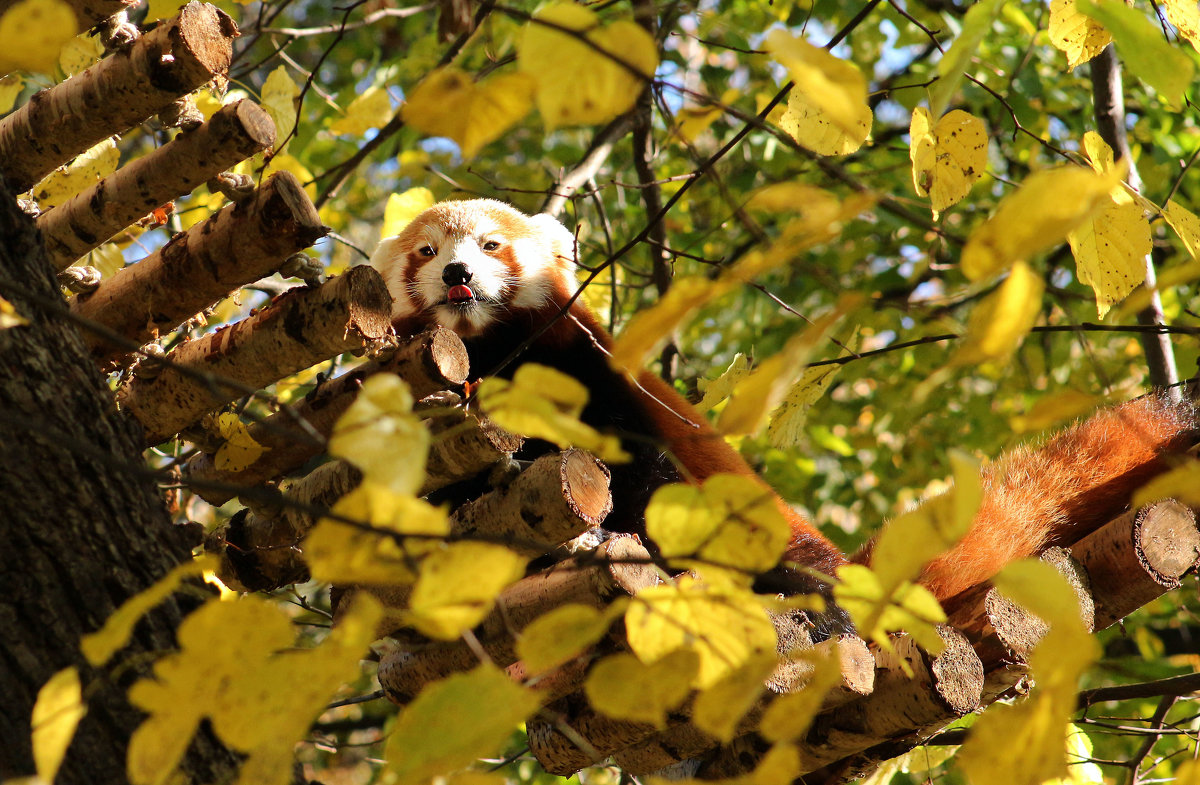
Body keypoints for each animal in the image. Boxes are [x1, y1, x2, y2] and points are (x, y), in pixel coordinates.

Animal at [369, 201, 1195, 628]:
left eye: (490, 244)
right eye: (426, 251)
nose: (457, 272)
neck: (492, 351)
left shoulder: (591, 371)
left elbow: (644, 474)